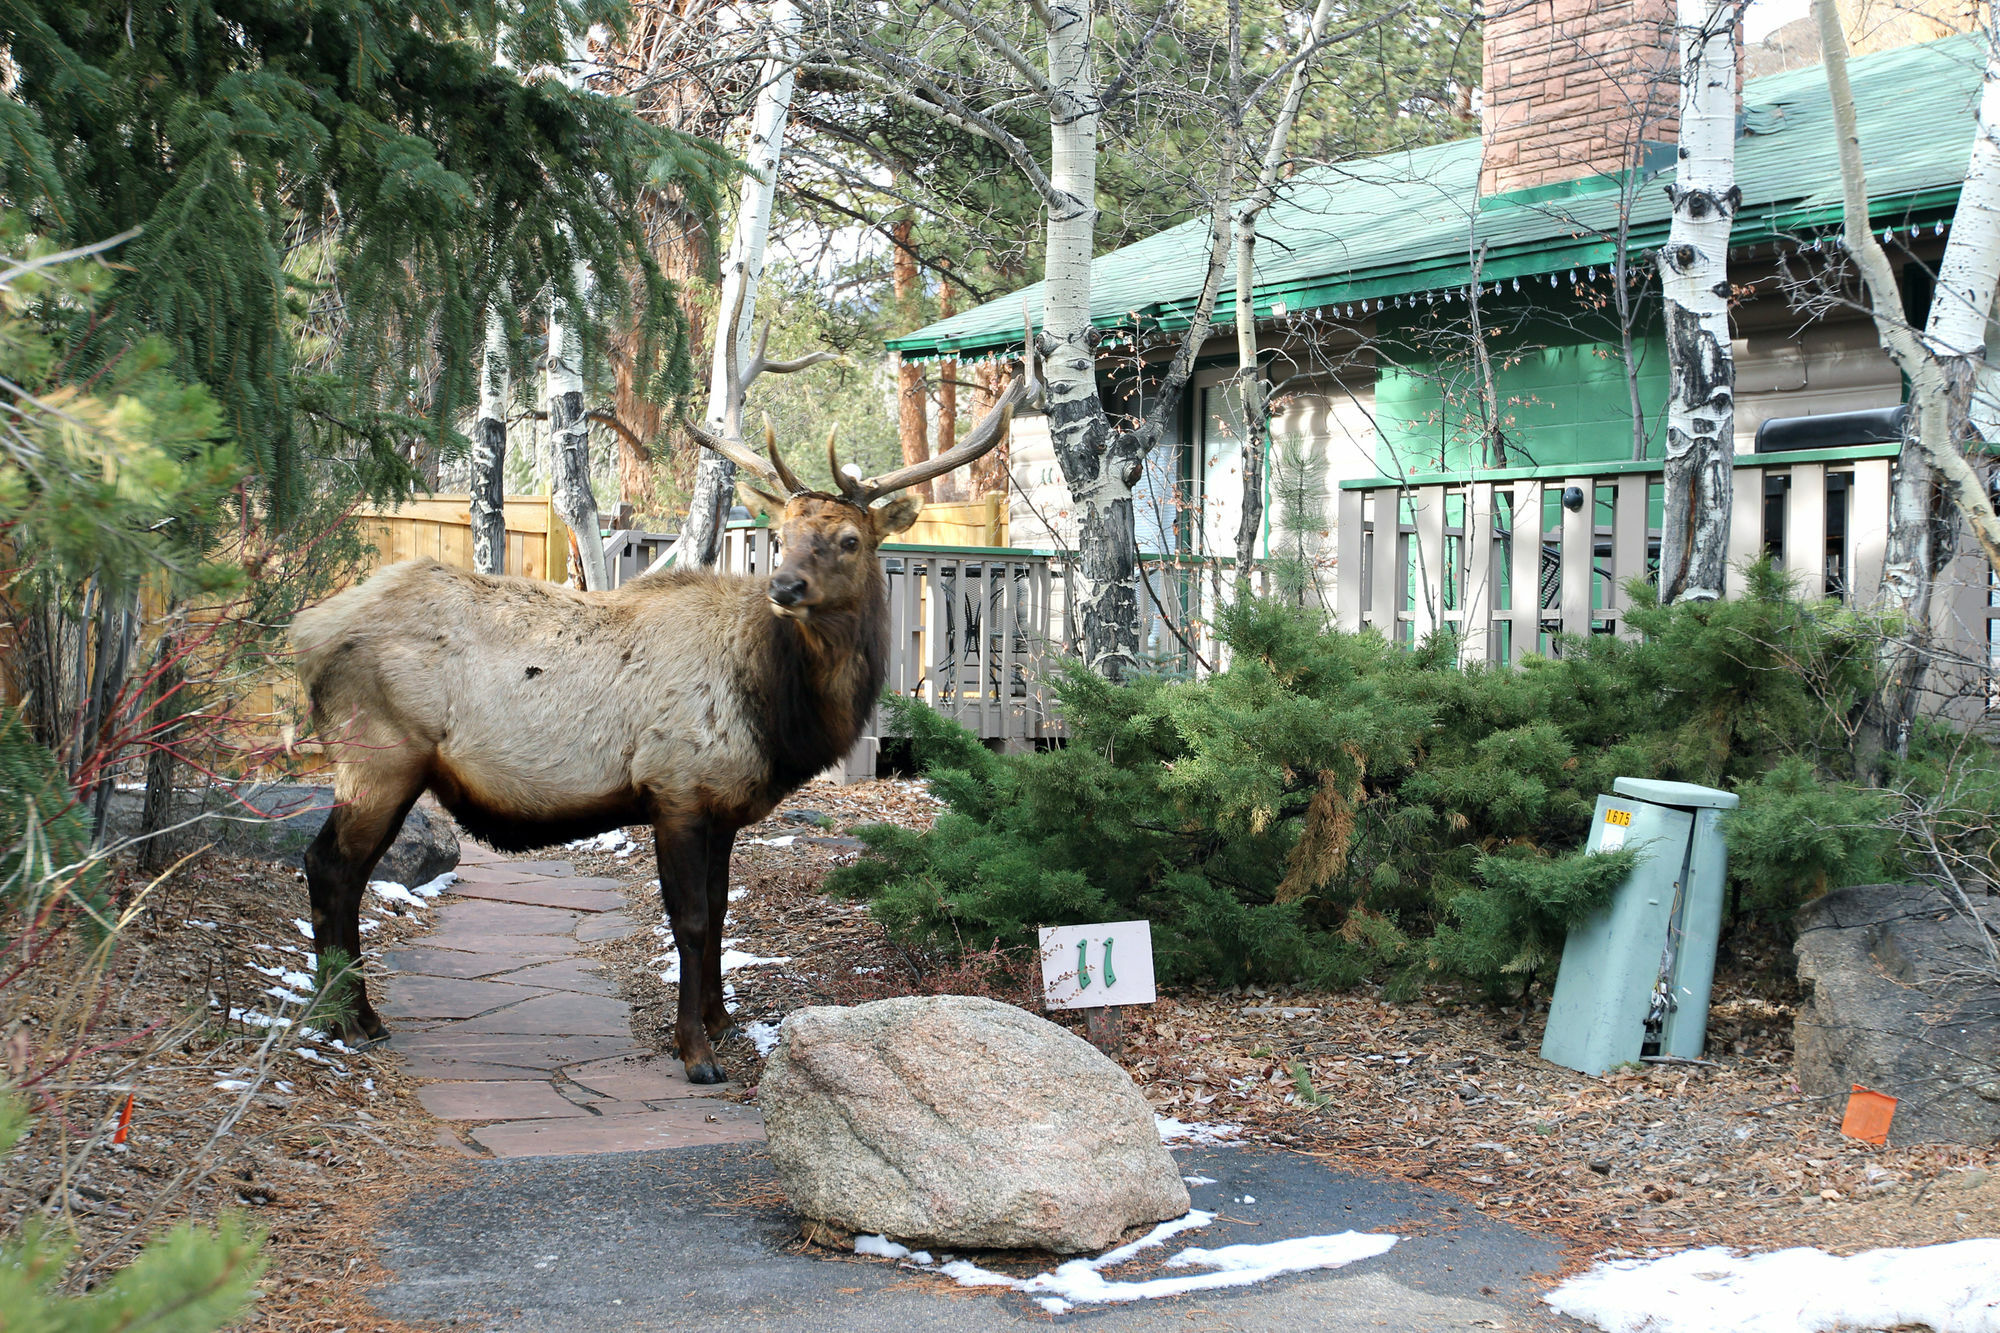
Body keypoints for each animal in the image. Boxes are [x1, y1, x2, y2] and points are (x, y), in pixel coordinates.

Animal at [292, 350, 1032, 1080]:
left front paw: (724, 1020)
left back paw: (348, 1015)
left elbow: (725, 910)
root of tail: (306, 633)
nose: (784, 585)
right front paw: (696, 1050)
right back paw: (349, 1019)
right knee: (331, 866)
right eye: (784, 533)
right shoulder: (675, 788)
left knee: (345, 871)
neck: (778, 710)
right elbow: (692, 921)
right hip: (379, 755)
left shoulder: (724, 806)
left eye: (850, 539)